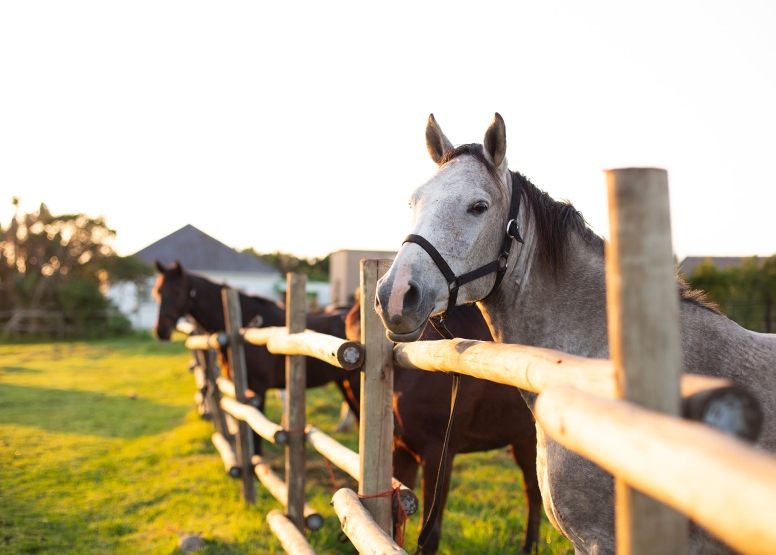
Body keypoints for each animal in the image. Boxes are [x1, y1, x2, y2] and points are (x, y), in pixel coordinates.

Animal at [153, 260, 362, 452]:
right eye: (158, 292)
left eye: (177, 291)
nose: (161, 331)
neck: (245, 328)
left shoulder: (257, 389)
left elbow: (256, 435)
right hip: (343, 384)